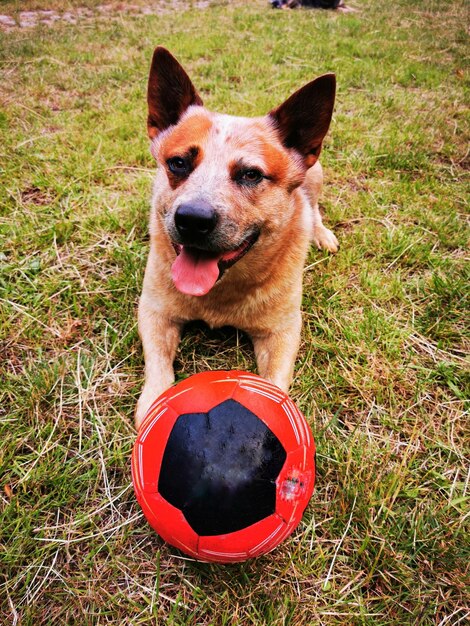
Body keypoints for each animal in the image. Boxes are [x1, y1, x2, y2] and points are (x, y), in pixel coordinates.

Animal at [135, 47, 338, 428]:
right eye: (179, 163)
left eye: (250, 174)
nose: (192, 219)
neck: (220, 294)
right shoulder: (154, 311)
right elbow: (158, 367)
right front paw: (153, 405)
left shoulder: (283, 331)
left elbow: (276, 384)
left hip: (316, 175)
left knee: (314, 205)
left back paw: (321, 233)